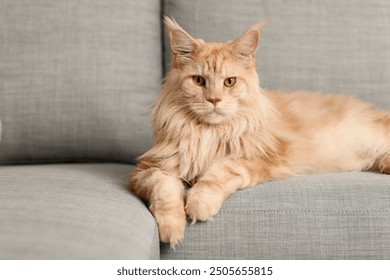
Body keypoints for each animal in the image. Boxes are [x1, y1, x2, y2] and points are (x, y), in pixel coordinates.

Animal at [129, 16, 390, 246]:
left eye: (230, 82)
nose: (214, 100)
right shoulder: (149, 169)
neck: (209, 134)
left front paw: (198, 204)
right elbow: (164, 191)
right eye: (199, 81)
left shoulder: (258, 160)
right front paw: (171, 229)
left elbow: (217, 173)